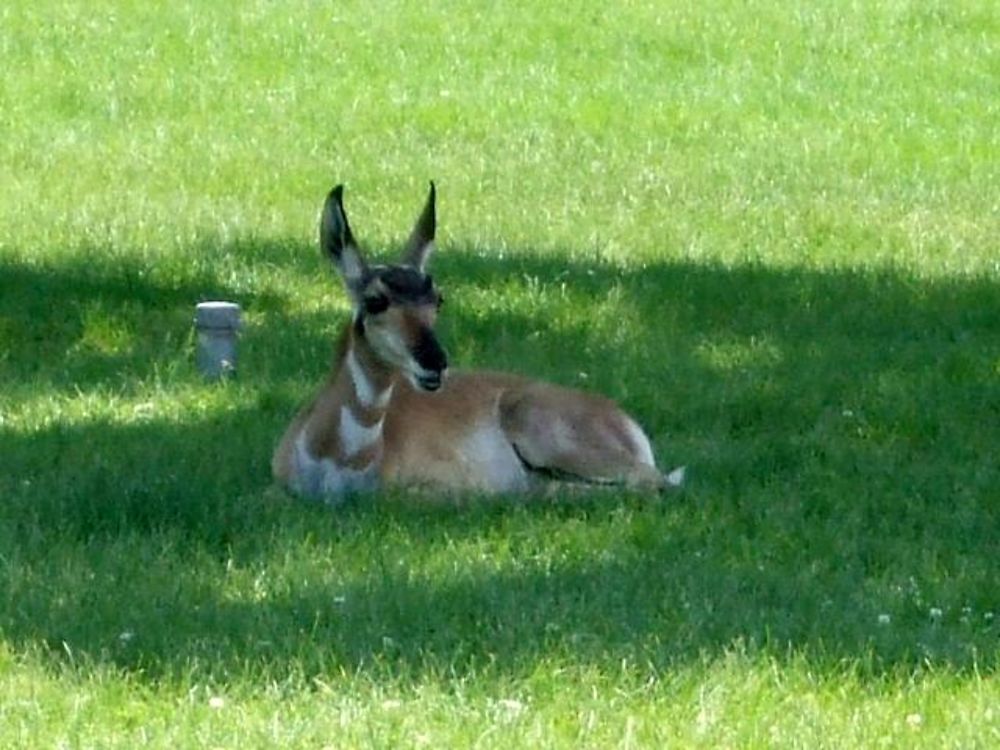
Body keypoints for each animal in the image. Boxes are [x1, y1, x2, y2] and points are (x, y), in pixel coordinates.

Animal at [270, 183, 684, 502]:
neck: (335, 457)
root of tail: (620, 417)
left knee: (648, 481)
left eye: (437, 298)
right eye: (375, 300)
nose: (435, 362)